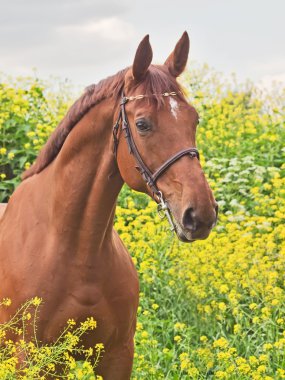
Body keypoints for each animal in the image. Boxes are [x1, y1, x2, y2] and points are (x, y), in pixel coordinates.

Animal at [0, 31, 216, 378]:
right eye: (142, 124)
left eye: (194, 119)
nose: (201, 214)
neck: (74, 249)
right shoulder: (29, 360)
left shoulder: (117, 354)